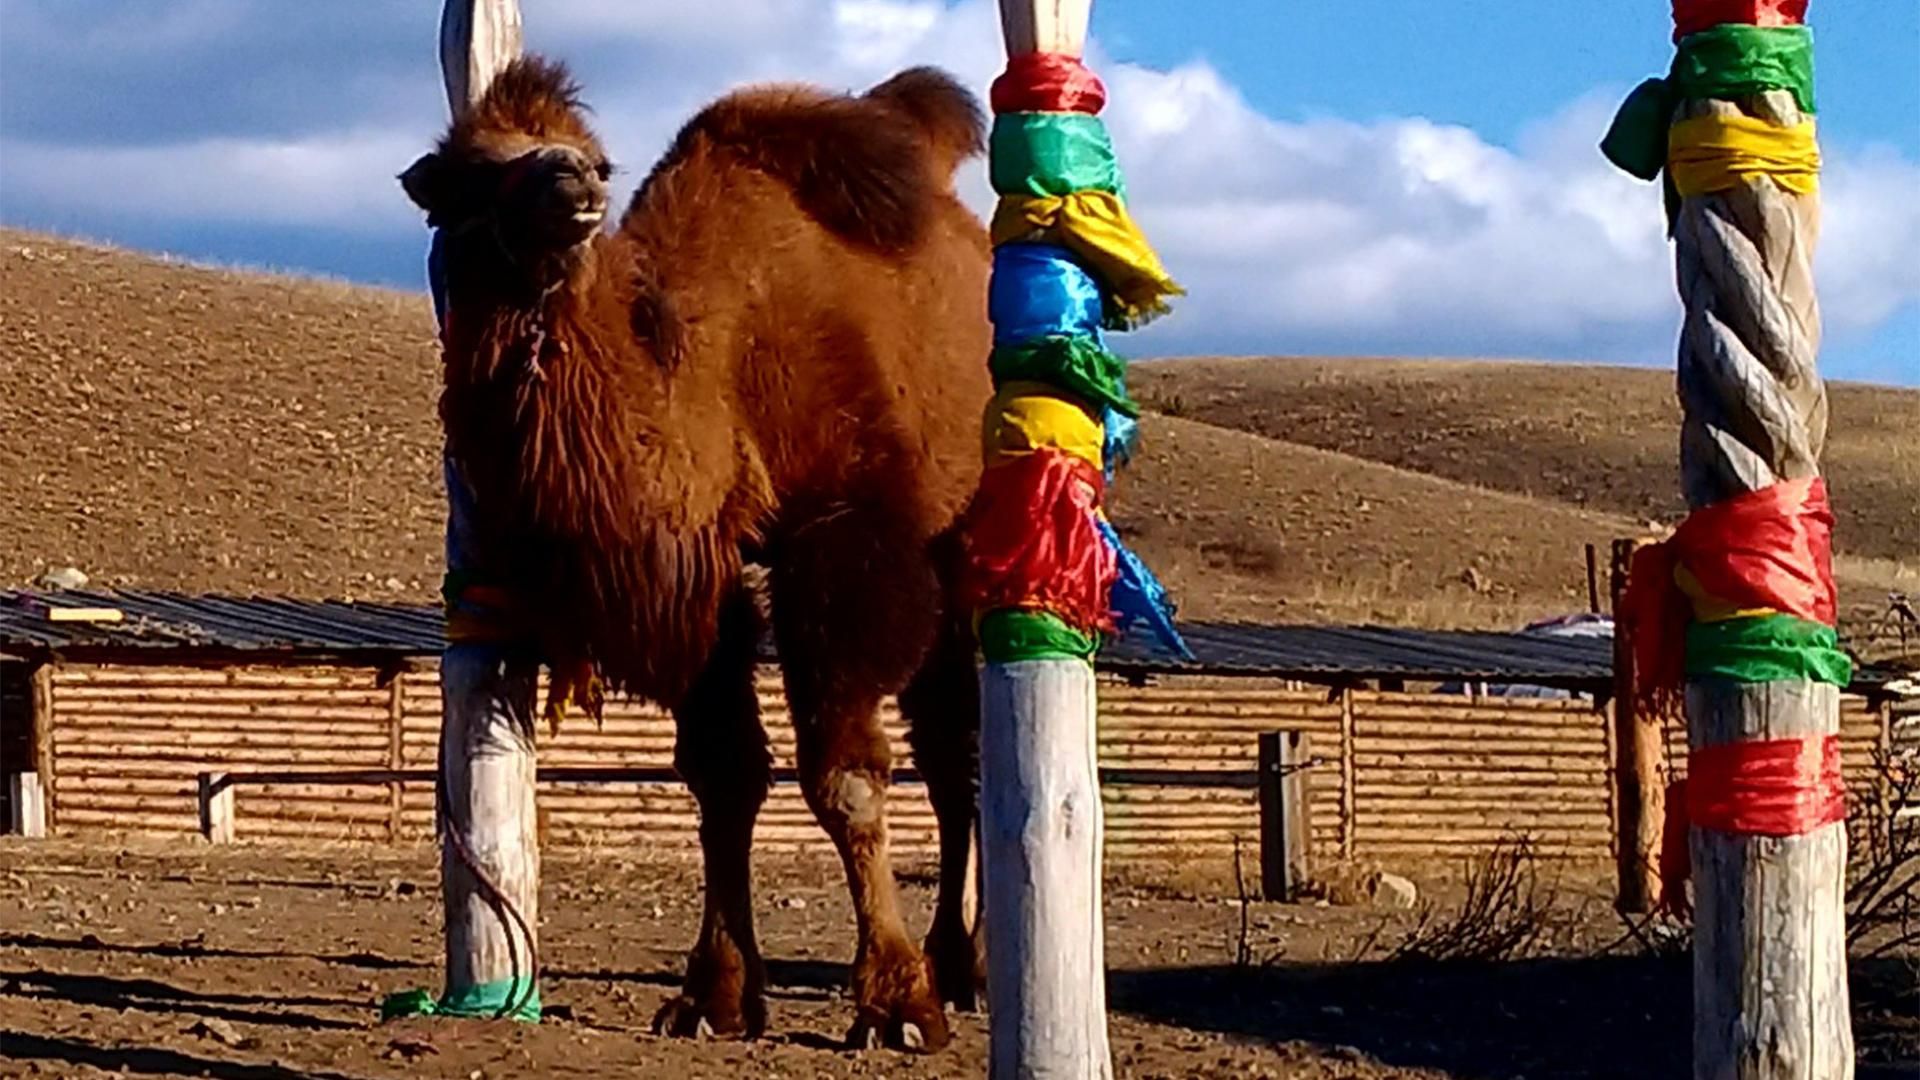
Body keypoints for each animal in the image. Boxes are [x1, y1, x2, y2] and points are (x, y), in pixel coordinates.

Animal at [393, 56, 990, 1045]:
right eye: (461, 175)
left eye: (596, 155)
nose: (573, 183)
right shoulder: (700, 577)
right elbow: (721, 774)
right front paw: (714, 994)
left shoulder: (847, 536)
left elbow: (845, 775)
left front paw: (896, 1003)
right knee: (951, 747)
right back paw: (957, 962)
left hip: (966, 532)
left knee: (958, 752)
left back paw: (964, 970)